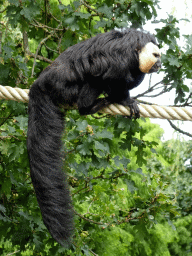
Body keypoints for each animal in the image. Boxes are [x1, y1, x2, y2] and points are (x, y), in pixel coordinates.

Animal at [27, 28, 161, 246]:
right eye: (156, 55)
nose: (160, 63)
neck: (136, 49)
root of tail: (41, 82)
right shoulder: (121, 57)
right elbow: (110, 74)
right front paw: (126, 100)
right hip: (65, 87)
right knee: (94, 78)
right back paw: (90, 106)